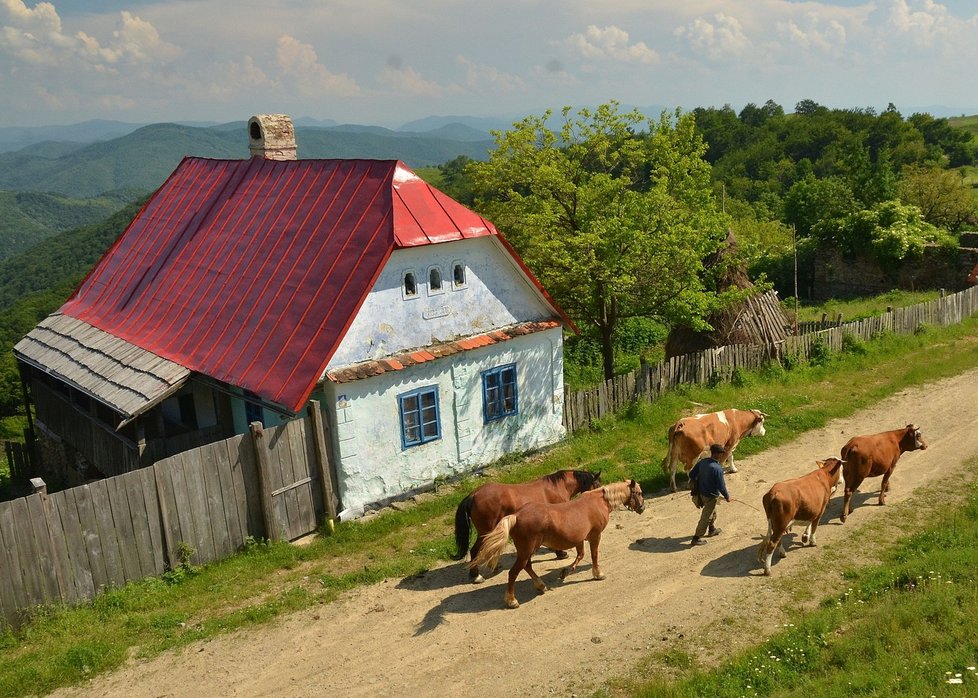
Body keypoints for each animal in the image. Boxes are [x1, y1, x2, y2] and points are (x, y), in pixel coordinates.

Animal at [452, 468, 604, 580]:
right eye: (597, 484)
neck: (558, 487)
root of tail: (473, 495)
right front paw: (561, 553)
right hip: (486, 531)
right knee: (474, 550)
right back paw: (476, 575)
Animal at [468, 478, 644, 604]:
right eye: (639, 492)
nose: (642, 508)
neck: (599, 501)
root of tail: (516, 516)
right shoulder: (595, 536)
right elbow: (593, 555)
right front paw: (598, 574)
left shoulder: (579, 539)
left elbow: (580, 555)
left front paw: (565, 572)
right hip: (526, 550)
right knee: (514, 572)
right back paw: (512, 600)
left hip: (526, 551)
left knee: (527, 566)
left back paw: (540, 585)